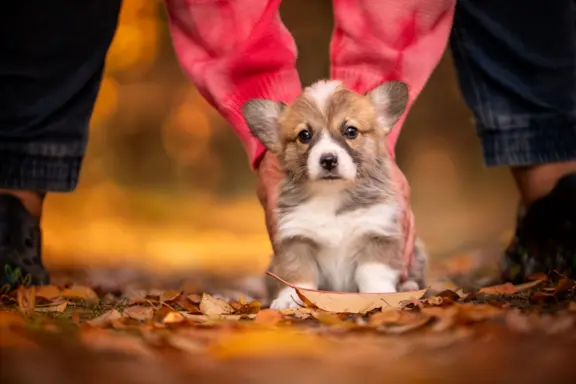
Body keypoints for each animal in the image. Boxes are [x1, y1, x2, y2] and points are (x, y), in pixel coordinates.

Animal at [241, 80, 426, 308]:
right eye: (304, 135)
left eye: (351, 131)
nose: (328, 160)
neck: (331, 194)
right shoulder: (294, 239)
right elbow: (297, 274)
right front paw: (289, 300)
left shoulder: (378, 233)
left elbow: (373, 273)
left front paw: (380, 295)